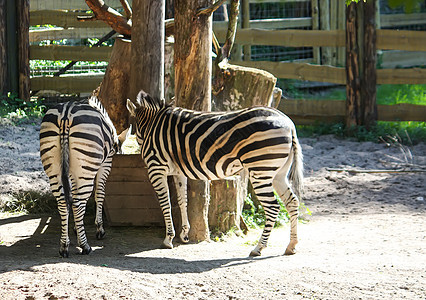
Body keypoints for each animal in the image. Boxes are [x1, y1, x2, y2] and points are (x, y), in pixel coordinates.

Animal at [40, 96, 130, 258]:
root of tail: (65, 114)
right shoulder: (105, 164)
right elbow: (100, 193)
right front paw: (99, 228)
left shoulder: (73, 172)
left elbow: (74, 195)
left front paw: (77, 227)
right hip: (86, 168)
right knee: (78, 203)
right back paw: (85, 246)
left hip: (54, 170)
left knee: (63, 203)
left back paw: (64, 246)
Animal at [126, 90, 302, 256]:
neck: (151, 126)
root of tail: (288, 123)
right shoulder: (178, 171)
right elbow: (182, 201)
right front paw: (184, 235)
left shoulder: (156, 168)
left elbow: (165, 203)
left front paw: (168, 238)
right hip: (278, 173)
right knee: (292, 201)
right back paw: (291, 246)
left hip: (260, 169)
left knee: (273, 207)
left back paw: (258, 248)